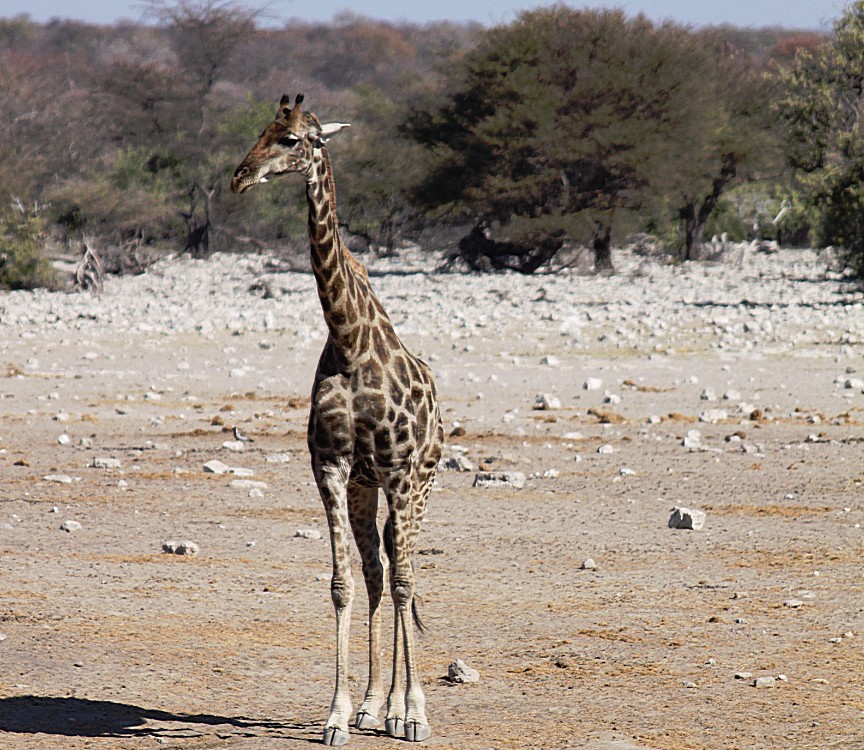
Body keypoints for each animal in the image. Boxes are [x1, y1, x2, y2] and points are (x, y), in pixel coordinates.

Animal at [231, 94, 446, 748]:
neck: (349, 340)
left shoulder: (399, 470)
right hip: (364, 488)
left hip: (420, 483)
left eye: (295, 140)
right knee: (378, 569)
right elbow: (343, 583)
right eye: (262, 130)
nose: (240, 177)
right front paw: (338, 713)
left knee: (404, 572)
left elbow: (405, 583)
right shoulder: (330, 465)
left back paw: (399, 709)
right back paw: (375, 707)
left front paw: (416, 713)